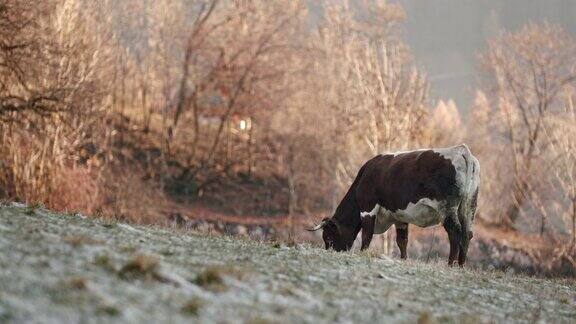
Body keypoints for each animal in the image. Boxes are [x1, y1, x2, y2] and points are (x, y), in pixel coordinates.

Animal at [308, 144, 480, 266]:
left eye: (328, 237)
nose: (331, 252)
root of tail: (460, 149)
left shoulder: (368, 208)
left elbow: (366, 235)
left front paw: (363, 253)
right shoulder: (400, 217)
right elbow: (402, 241)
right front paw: (404, 259)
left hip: (447, 208)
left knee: (455, 232)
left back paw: (451, 264)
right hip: (469, 208)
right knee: (467, 234)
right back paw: (461, 265)